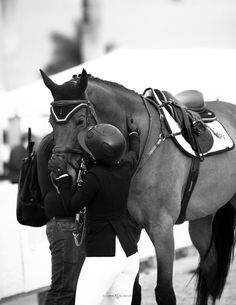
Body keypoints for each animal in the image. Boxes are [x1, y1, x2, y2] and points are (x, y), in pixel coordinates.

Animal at [40, 69, 236, 304]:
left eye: (79, 120)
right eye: (51, 122)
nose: (59, 172)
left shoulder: (161, 228)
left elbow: (164, 292)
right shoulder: (129, 228)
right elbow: (133, 290)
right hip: (203, 216)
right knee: (210, 265)